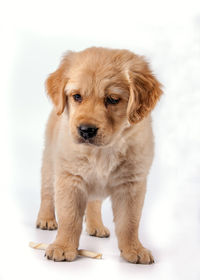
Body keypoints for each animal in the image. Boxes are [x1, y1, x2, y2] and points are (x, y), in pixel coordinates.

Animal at [36, 47, 162, 264]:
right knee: (47, 193)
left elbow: (130, 221)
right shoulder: (70, 177)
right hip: (50, 162)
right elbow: (69, 217)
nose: (86, 130)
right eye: (77, 96)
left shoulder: (131, 184)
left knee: (93, 202)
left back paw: (96, 225)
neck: (103, 151)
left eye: (112, 99)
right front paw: (63, 246)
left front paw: (134, 249)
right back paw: (46, 219)